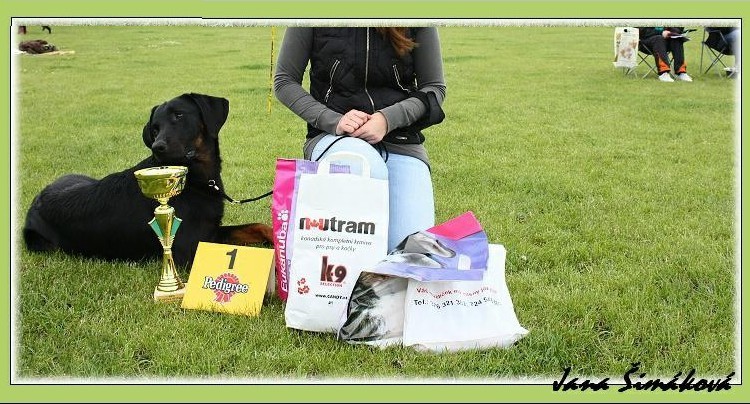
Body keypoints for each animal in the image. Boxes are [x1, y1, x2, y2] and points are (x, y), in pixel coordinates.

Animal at [23, 93, 274, 272]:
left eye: (179, 116)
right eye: (155, 128)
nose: (158, 147)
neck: (197, 180)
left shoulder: (210, 229)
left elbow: (259, 226)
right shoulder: (190, 247)